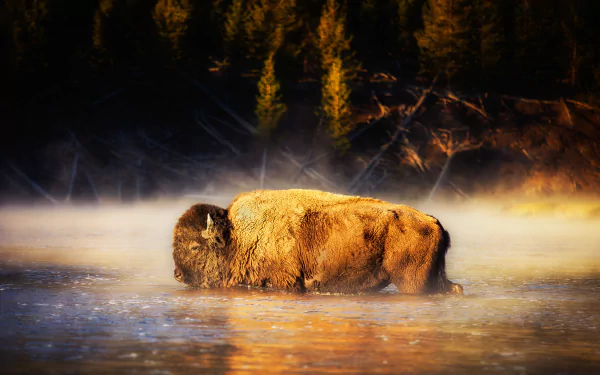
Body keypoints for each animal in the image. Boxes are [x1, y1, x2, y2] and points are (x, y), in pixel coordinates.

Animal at [173, 189, 464, 296]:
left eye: (195, 247)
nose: (178, 275)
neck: (236, 237)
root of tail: (433, 222)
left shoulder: (284, 283)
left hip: (411, 282)